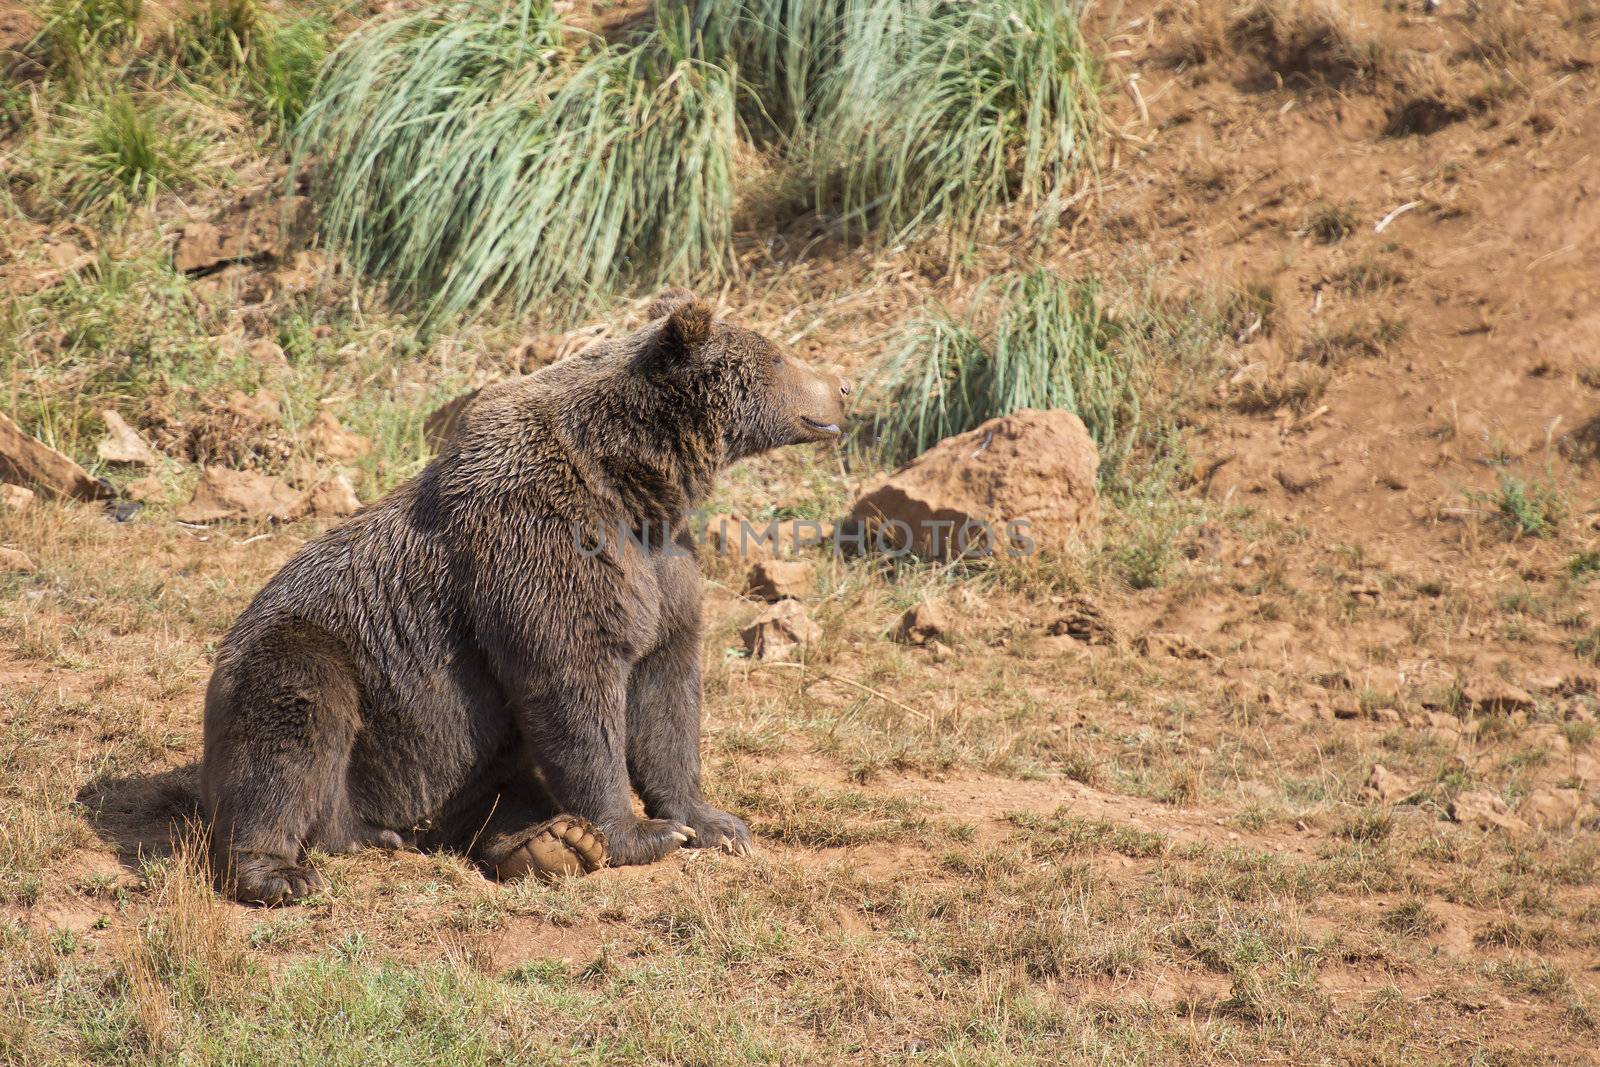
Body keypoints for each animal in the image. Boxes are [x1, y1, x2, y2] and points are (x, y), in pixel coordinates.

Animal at [201, 289, 851, 902]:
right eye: (777, 355)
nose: (843, 387)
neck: (631, 483)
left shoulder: (662, 569)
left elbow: (666, 690)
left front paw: (712, 822)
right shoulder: (542, 545)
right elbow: (572, 682)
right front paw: (638, 833)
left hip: (464, 762)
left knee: (497, 794)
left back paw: (545, 843)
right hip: (325, 672)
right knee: (294, 728)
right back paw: (281, 870)